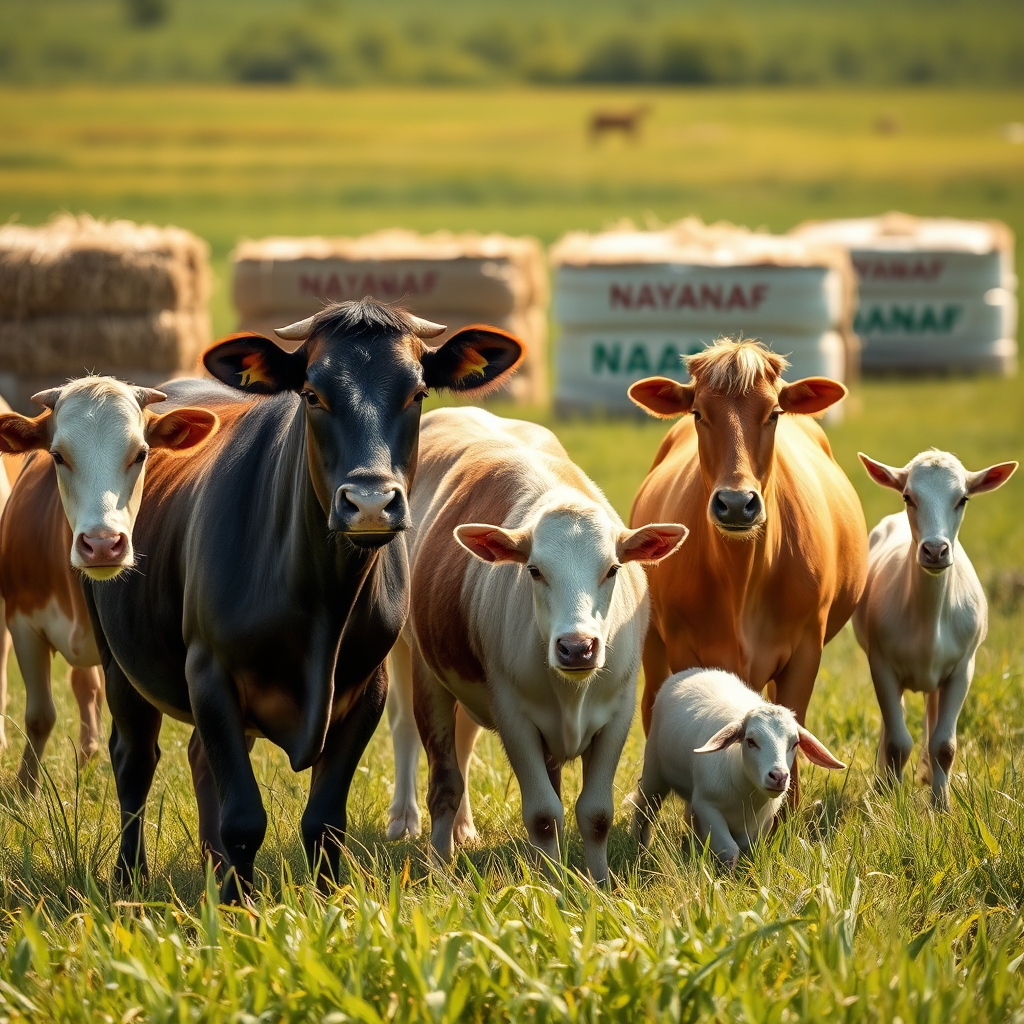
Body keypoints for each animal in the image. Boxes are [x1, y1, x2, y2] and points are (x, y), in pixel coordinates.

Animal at [0, 377, 218, 792]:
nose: (101, 544)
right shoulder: (22, 622)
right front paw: (24, 790)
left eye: (141, 454)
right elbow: (39, 715)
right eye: (58, 456)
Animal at [81, 300, 523, 899]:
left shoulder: (365, 687)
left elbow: (324, 819)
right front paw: (239, 907)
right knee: (133, 761)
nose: (369, 503)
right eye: (312, 394)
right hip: (116, 653)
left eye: (417, 393)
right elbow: (244, 816)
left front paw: (322, 899)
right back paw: (132, 876)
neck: (320, 604)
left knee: (198, 759)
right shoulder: (209, 672)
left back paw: (212, 867)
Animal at [387, 407, 687, 882]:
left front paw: (596, 882)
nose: (577, 647)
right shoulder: (513, 715)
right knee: (427, 757)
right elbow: (544, 814)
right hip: (416, 662)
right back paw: (423, 841)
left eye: (613, 569)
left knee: (463, 745)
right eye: (534, 570)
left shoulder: (618, 713)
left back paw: (463, 830)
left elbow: (595, 813)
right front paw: (549, 882)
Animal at [628, 338, 868, 803]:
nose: (737, 504)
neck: (742, 578)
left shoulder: (807, 645)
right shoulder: (681, 644)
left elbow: (795, 725)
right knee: (650, 705)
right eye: (698, 413)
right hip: (653, 643)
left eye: (773, 413)